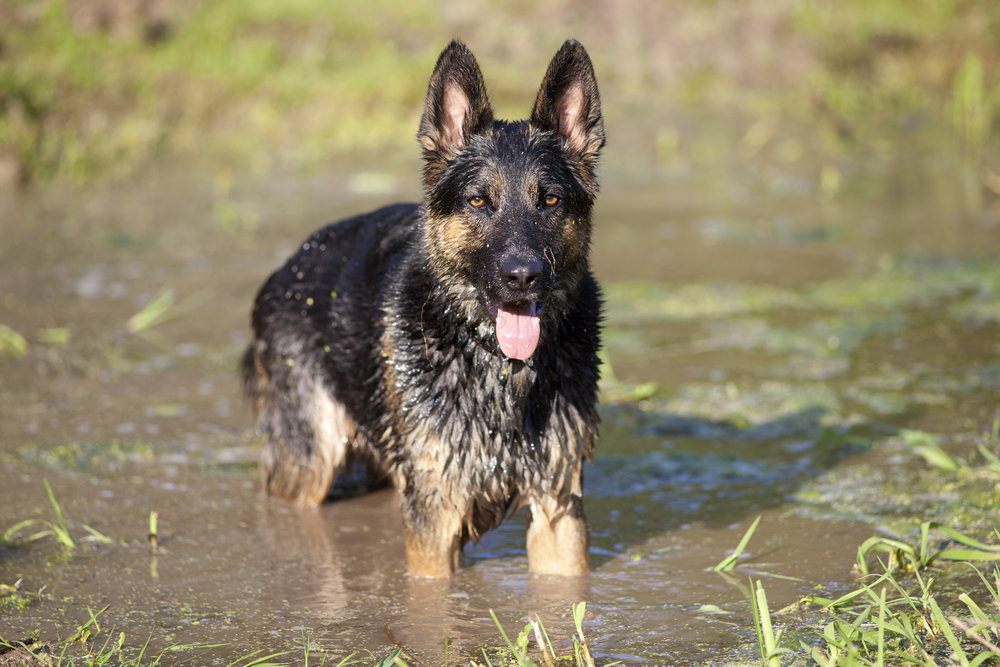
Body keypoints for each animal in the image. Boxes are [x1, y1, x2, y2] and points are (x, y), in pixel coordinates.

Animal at [244, 39, 600, 576]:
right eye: (478, 202)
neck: (497, 368)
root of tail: (290, 264)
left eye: (551, 200)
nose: (522, 277)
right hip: (308, 462)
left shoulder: (559, 507)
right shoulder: (434, 514)